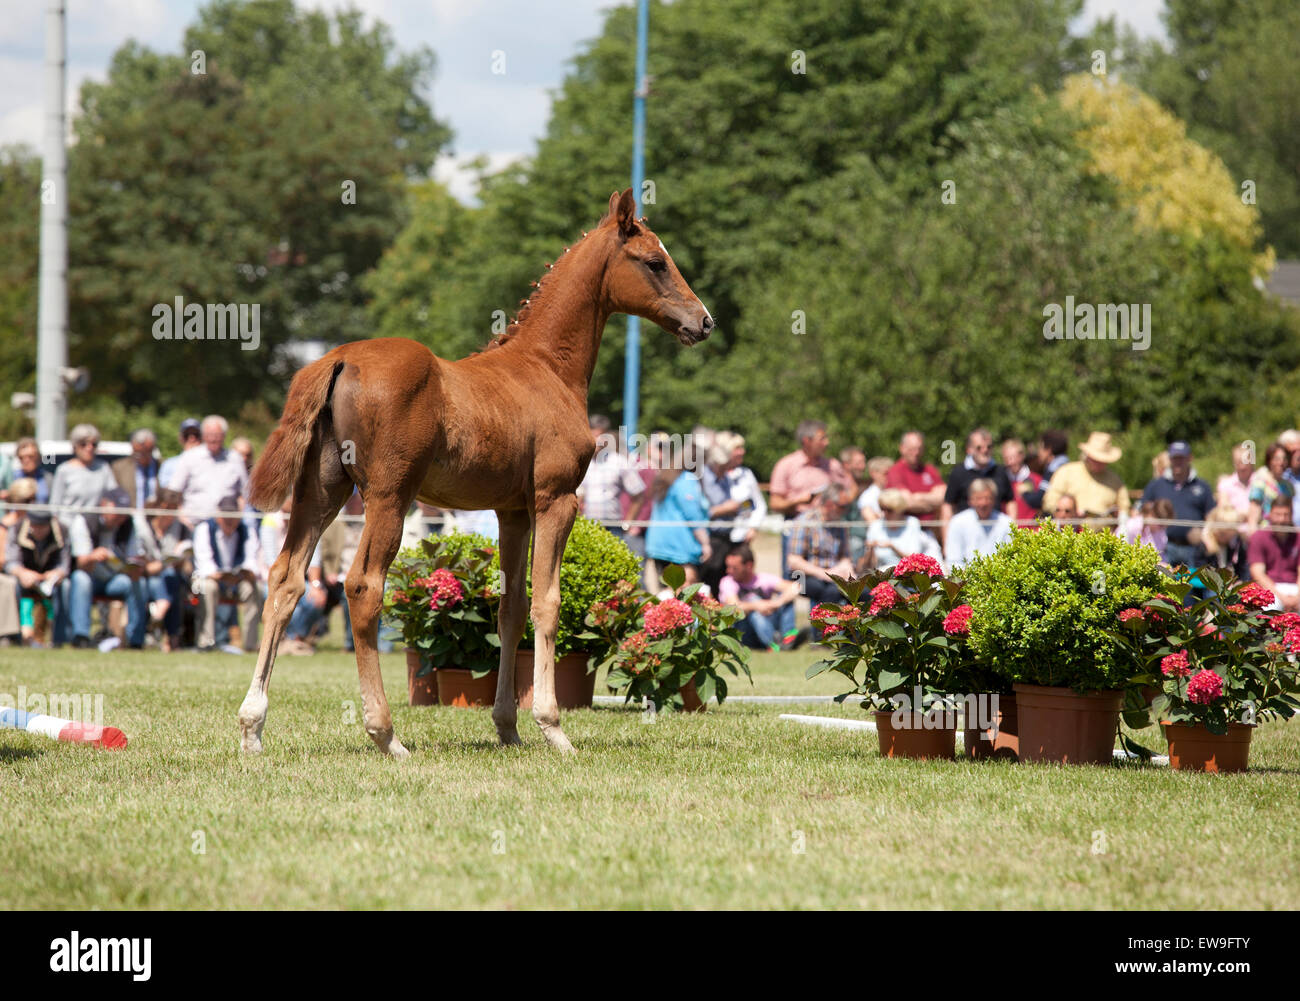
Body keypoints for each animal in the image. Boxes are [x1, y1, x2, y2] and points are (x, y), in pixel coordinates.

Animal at [239, 187, 717, 754]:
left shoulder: (512, 511)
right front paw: (553, 727)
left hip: (321, 493)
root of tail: (336, 359)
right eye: (654, 262)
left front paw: (508, 726)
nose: (704, 321)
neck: (548, 368)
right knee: (363, 587)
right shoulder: (557, 499)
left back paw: (252, 726)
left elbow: (511, 608)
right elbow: (547, 603)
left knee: (285, 579)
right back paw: (386, 735)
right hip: (388, 496)